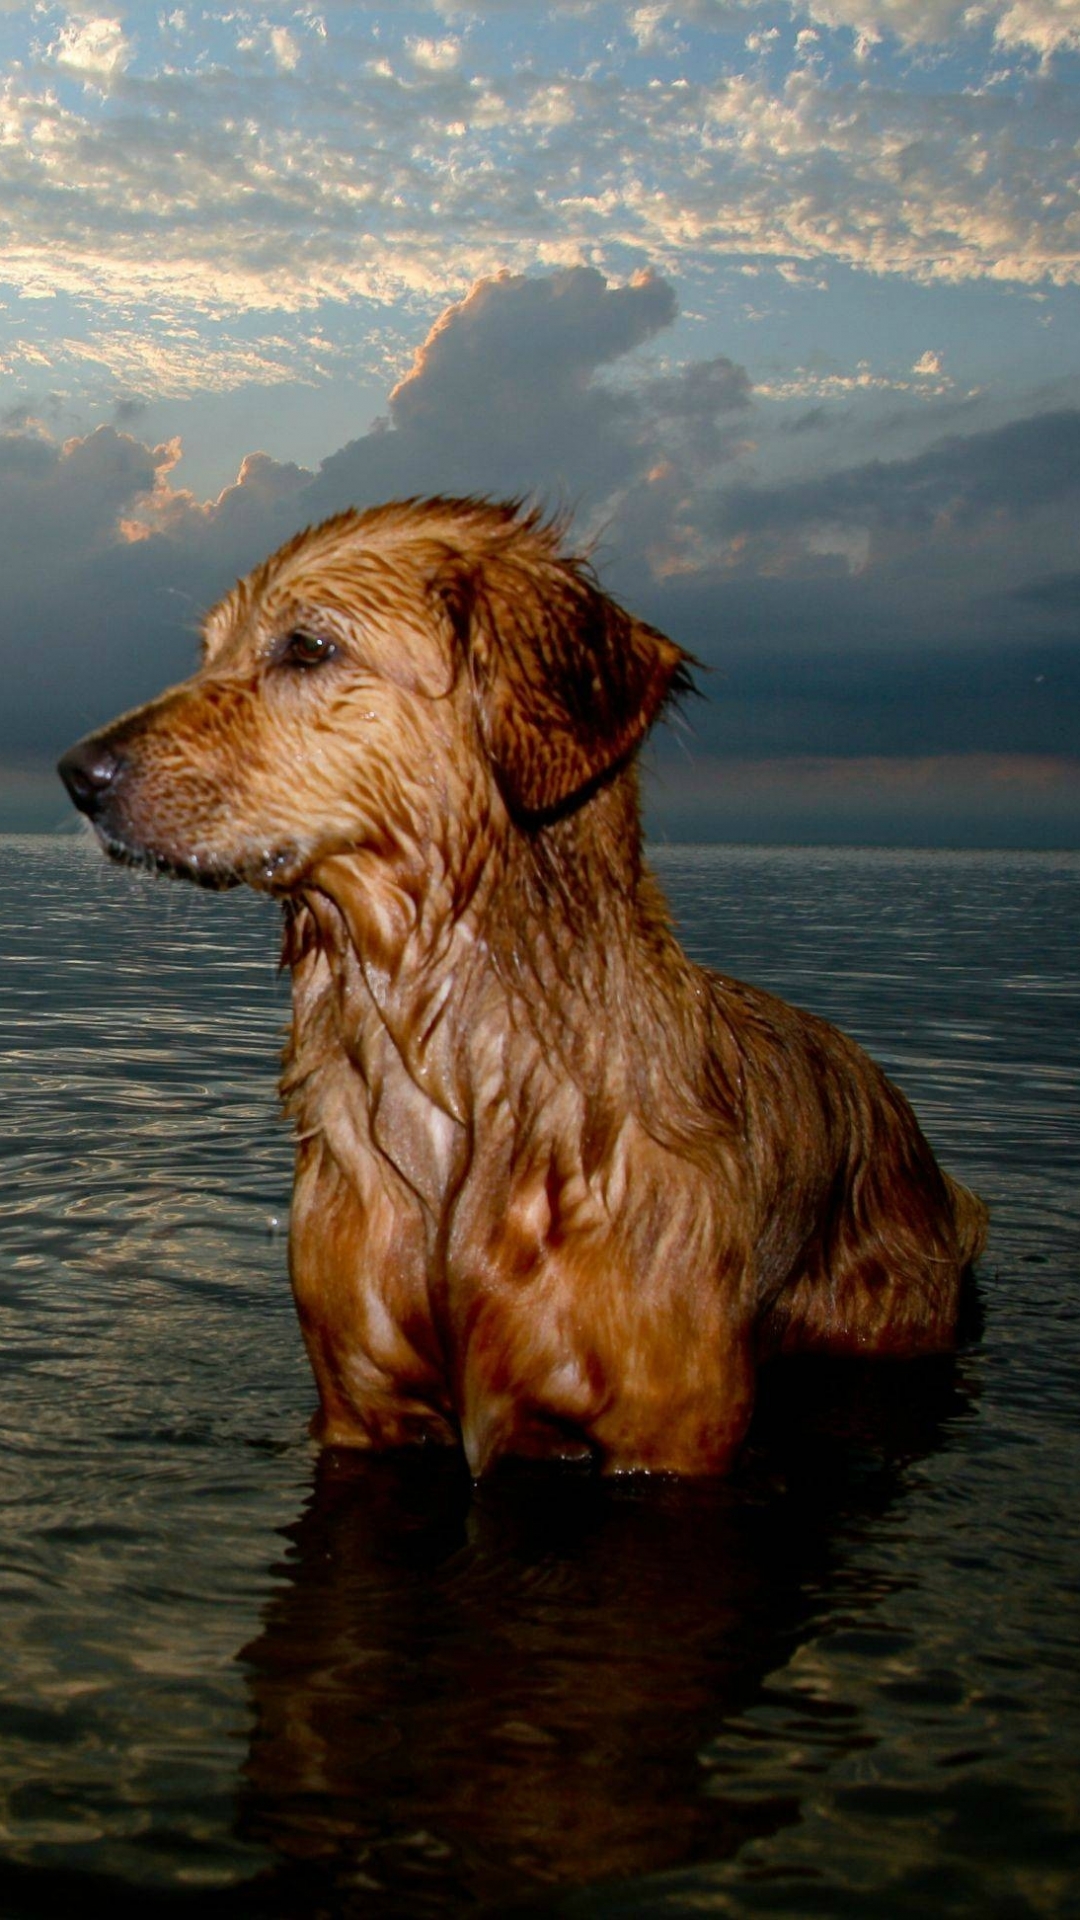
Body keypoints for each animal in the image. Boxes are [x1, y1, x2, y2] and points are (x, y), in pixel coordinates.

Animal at [58, 491, 983, 1466]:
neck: (455, 1079)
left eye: (307, 646)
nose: (77, 773)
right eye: (209, 652)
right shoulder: (360, 1406)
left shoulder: (671, 1425)